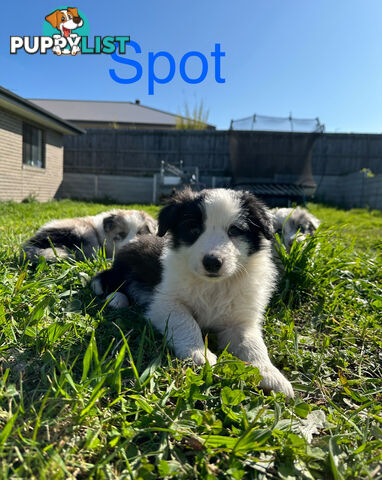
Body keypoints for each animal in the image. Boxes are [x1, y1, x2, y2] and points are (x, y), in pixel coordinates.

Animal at [93, 188, 296, 398]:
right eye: (194, 229)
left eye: (234, 230)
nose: (212, 262)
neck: (213, 285)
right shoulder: (164, 303)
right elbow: (186, 322)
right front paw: (199, 354)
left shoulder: (240, 319)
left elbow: (253, 343)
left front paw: (270, 374)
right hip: (124, 268)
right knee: (106, 280)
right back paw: (116, 298)